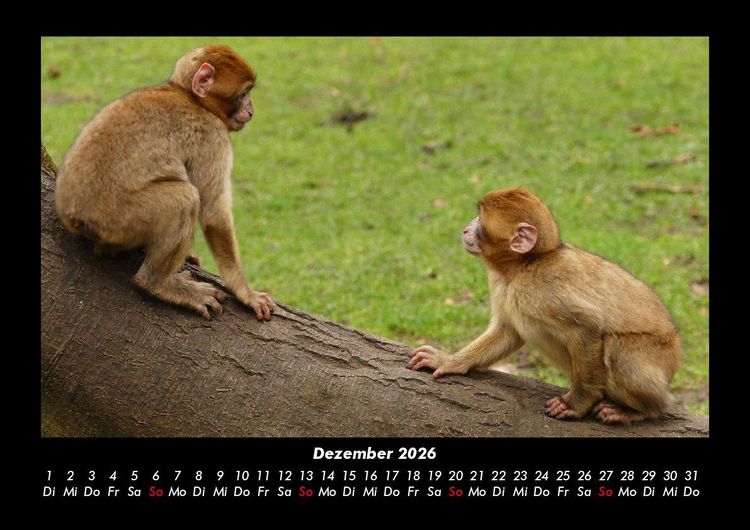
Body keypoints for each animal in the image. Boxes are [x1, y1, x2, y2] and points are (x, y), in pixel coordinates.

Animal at [55, 45, 274, 321]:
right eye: (244, 93)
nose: (251, 110)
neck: (189, 96)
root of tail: (71, 215)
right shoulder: (213, 136)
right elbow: (213, 211)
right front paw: (245, 292)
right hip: (119, 218)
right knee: (185, 199)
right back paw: (157, 283)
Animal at [407, 188, 682, 425]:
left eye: (480, 221)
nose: (465, 230)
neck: (523, 266)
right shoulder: (500, 283)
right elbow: (508, 332)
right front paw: (449, 361)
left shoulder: (540, 288)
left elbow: (589, 326)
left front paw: (577, 403)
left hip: (658, 355)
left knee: (617, 350)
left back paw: (647, 409)